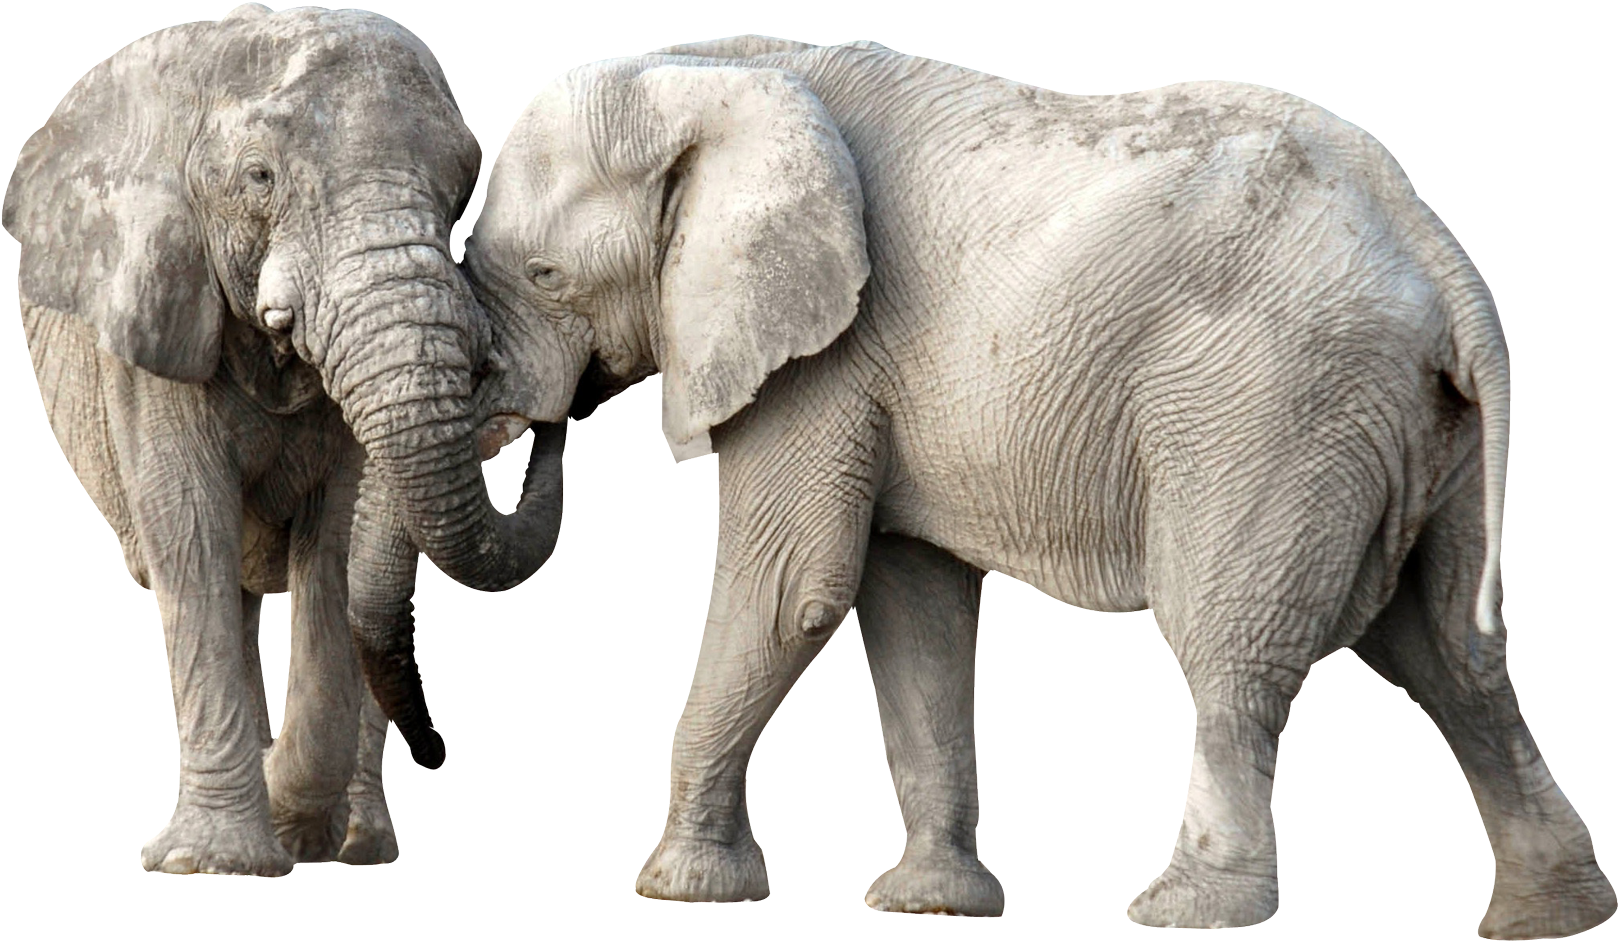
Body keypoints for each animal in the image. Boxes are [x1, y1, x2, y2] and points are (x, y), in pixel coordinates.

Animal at [4, 4, 562, 876]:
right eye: (260, 178)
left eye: (461, 186)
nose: (542, 416)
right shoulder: (156, 313)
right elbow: (189, 528)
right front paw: (215, 861)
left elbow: (334, 548)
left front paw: (291, 828)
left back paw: (355, 844)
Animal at [458, 34, 1617, 934]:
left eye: (547, 277)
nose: (552, 423)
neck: (713, 74)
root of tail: (1440, 255)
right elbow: (912, 606)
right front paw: (931, 905)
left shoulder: (822, 355)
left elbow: (793, 590)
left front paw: (680, 888)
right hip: (1411, 428)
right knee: (1447, 653)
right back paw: (1549, 918)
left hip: (1272, 406)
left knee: (1232, 643)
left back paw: (1184, 910)